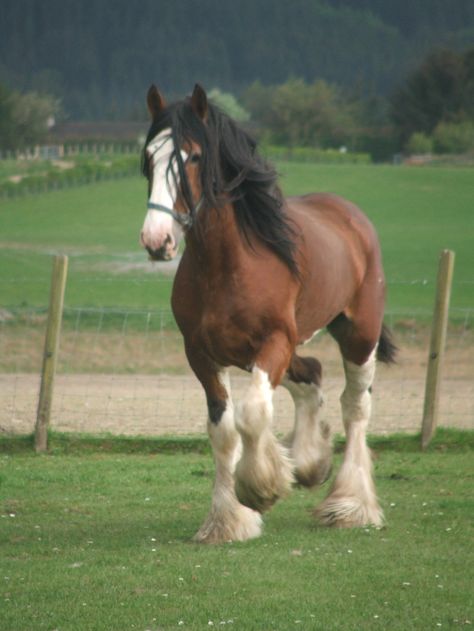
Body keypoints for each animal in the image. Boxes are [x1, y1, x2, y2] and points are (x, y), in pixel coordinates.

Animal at [141, 84, 396, 544]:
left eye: (193, 156)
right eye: (149, 156)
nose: (157, 239)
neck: (227, 265)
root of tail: (349, 215)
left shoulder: (274, 342)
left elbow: (254, 413)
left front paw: (260, 488)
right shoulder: (202, 355)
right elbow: (224, 431)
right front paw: (228, 520)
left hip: (358, 335)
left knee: (355, 407)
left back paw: (350, 504)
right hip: (276, 350)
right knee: (311, 373)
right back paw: (310, 463)